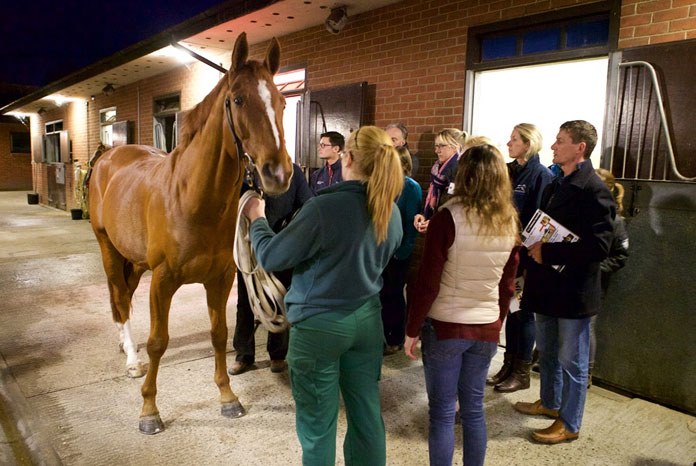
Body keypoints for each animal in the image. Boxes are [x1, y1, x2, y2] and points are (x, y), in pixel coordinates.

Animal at [88, 33, 292, 436]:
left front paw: (228, 398)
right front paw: (149, 411)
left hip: (135, 259)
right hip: (108, 248)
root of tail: (107, 157)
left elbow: (219, 335)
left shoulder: (220, 279)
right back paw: (131, 359)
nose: (278, 173)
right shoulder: (163, 280)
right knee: (118, 297)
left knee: (125, 298)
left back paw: (124, 346)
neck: (192, 198)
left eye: (281, 101)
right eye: (238, 99)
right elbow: (158, 342)